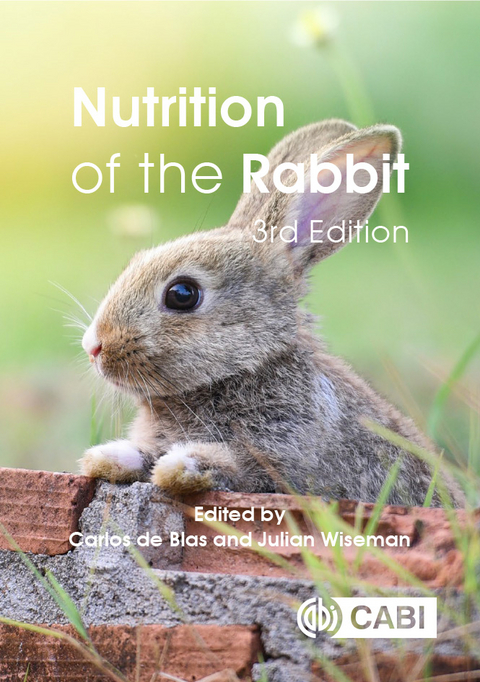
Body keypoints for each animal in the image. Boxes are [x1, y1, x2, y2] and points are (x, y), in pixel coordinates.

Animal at [79, 119, 464, 507]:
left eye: (182, 294)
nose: (93, 346)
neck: (246, 369)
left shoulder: (283, 460)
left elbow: (236, 467)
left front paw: (181, 465)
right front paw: (107, 457)